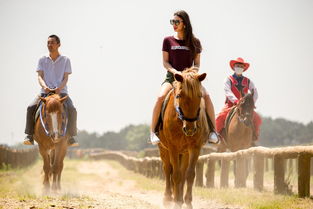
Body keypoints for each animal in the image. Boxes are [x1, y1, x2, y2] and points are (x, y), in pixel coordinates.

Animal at [157, 68, 208, 209]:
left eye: (200, 96)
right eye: (179, 96)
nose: (190, 129)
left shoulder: (195, 148)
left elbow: (189, 175)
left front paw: (187, 202)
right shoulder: (173, 148)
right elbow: (176, 175)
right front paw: (176, 202)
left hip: (185, 152)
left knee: (183, 171)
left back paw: (178, 198)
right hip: (163, 149)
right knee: (168, 169)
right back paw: (168, 198)